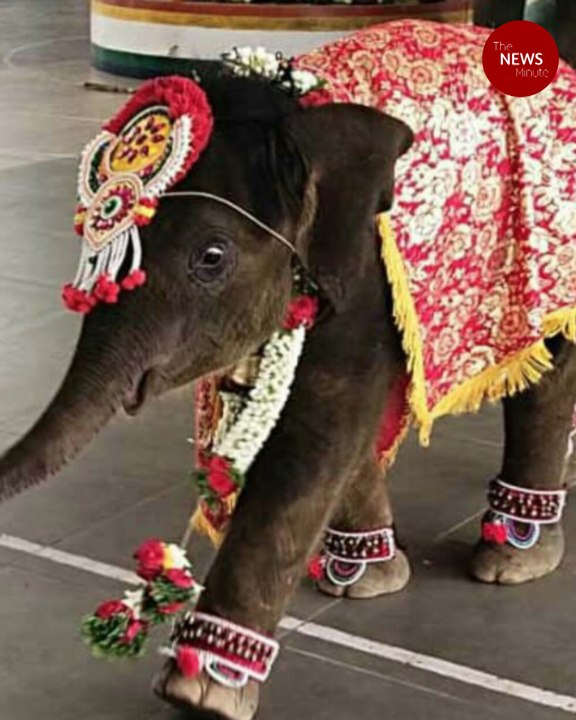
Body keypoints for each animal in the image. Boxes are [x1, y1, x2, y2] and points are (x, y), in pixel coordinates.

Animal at [2, 18, 576, 720]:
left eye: (212, 257)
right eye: (87, 251)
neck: (292, 116)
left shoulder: (363, 275)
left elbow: (321, 426)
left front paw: (203, 693)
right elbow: (347, 434)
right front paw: (362, 582)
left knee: (548, 372)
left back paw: (514, 560)